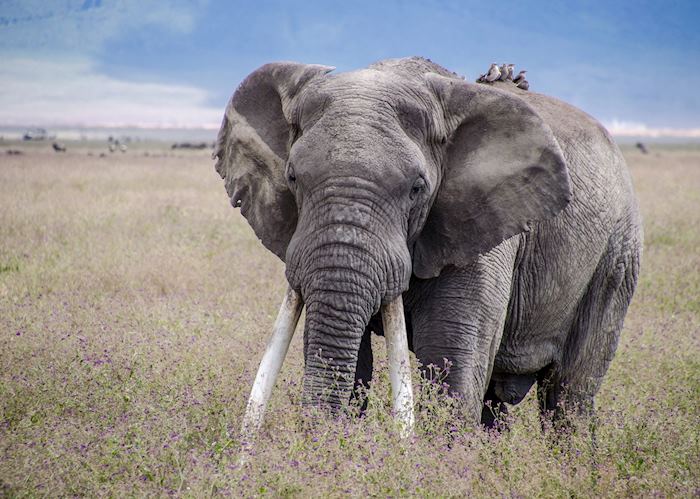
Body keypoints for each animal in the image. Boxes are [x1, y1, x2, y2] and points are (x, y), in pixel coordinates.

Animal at [215, 56, 644, 436]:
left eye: (416, 189)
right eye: (292, 177)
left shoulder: (482, 232)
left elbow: (450, 365)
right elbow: (352, 362)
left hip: (617, 254)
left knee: (569, 394)